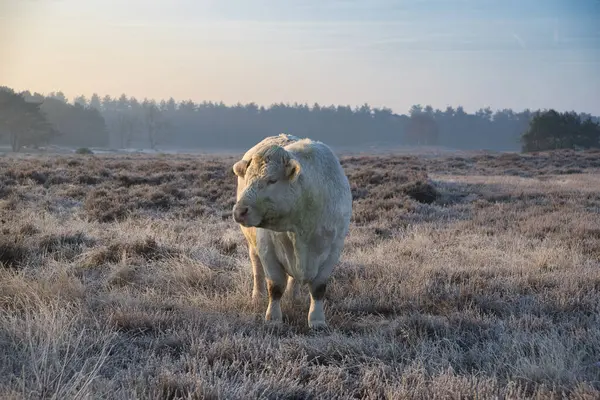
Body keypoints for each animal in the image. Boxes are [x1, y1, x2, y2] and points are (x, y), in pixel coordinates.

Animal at [230, 134, 352, 328]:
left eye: (272, 180)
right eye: (247, 179)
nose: (240, 211)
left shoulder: (333, 250)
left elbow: (319, 288)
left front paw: (317, 320)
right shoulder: (268, 250)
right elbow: (275, 286)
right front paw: (273, 318)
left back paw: (293, 297)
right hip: (253, 247)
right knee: (257, 269)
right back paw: (257, 295)